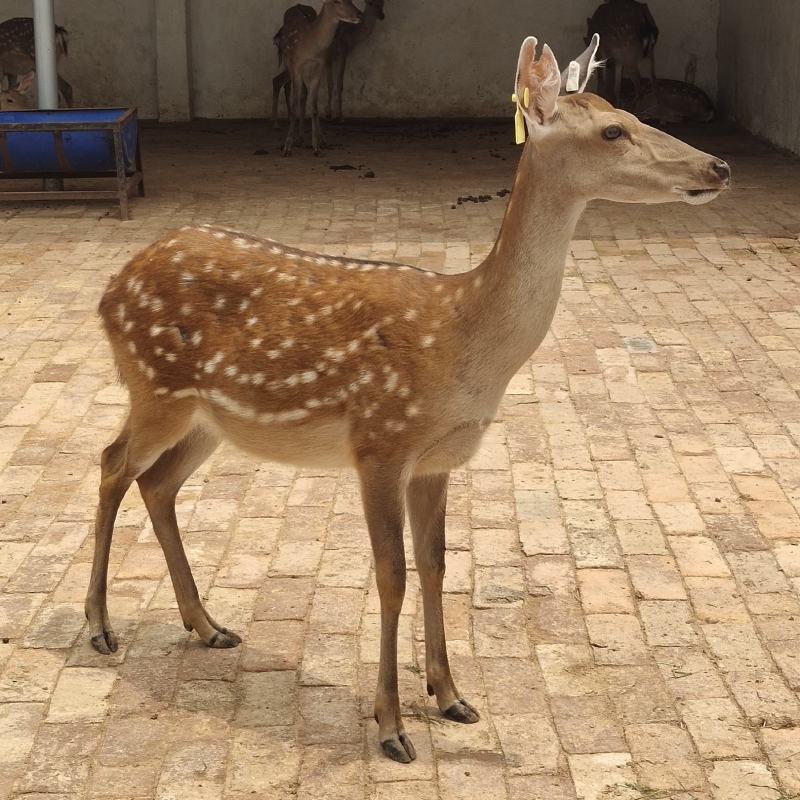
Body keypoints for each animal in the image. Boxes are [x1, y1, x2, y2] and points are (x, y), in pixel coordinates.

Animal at [85, 32, 730, 763]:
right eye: (613, 131)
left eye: (631, 111)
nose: (719, 164)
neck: (464, 338)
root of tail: (110, 290)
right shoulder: (380, 442)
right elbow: (390, 573)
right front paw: (391, 724)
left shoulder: (438, 459)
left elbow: (435, 565)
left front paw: (451, 696)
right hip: (155, 385)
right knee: (111, 463)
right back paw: (100, 626)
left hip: (208, 418)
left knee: (157, 482)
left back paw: (207, 624)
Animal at [272, 0, 361, 156]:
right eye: (337, 1)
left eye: (351, 0)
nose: (358, 15)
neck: (311, 48)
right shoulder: (297, 67)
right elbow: (295, 106)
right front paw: (287, 146)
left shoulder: (319, 68)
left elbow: (314, 107)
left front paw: (316, 145)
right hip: (289, 66)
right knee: (291, 90)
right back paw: (295, 136)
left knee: (303, 96)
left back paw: (309, 138)